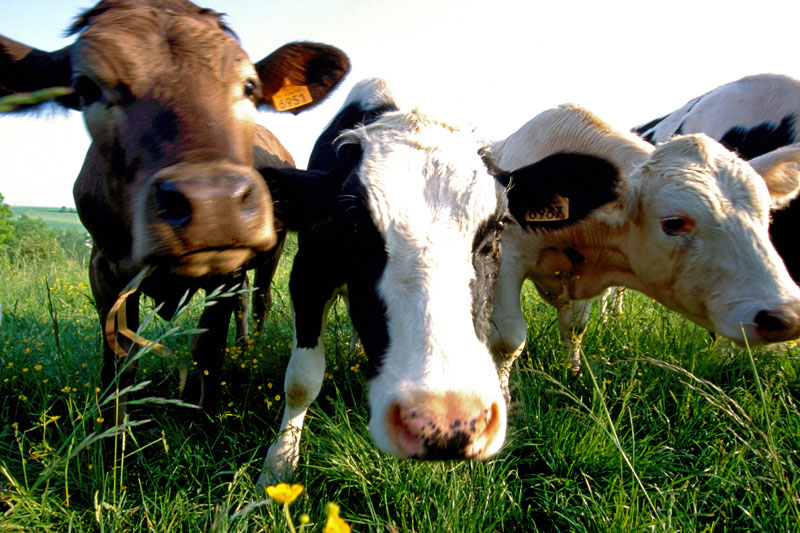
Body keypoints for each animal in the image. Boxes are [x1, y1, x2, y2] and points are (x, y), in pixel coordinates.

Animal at [0, 0, 350, 423]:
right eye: (86, 87)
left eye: (249, 86)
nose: (214, 201)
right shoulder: (103, 267)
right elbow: (119, 359)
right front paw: (115, 431)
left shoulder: (226, 272)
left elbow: (207, 348)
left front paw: (206, 419)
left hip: (272, 255)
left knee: (260, 299)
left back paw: (250, 348)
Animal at [254, 79, 622, 483]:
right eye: (353, 223)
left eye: (498, 226)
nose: (448, 420)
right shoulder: (307, 272)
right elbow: (301, 380)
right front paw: (278, 464)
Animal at [487, 103, 800, 398]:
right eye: (674, 223)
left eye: (766, 214)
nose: (786, 317)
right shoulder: (508, 258)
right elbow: (507, 339)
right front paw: (502, 393)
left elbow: (574, 328)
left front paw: (571, 373)